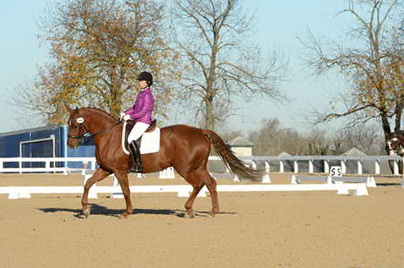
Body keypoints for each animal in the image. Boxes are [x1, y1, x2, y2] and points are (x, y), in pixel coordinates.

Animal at [66, 107, 262, 218]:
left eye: (75, 124)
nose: (71, 145)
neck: (108, 135)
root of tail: (201, 132)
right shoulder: (106, 169)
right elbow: (88, 184)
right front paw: (85, 210)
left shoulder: (119, 171)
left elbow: (126, 191)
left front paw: (127, 212)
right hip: (198, 167)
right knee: (211, 183)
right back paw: (214, 211)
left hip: (185, 168)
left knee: (198, 184)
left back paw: (189, 210)